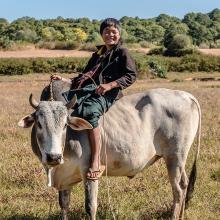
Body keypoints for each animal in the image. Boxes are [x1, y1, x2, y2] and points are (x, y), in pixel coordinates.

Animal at [18, 82, 201, 220]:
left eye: (65, 125)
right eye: (39, 124)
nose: (53, 157)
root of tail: (186, 95)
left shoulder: (90, 173)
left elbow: (90, 206)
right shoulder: (64, 177)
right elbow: (64, 205)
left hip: (175, 157)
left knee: (178, 190)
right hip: (178, 160)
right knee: (184, 184)